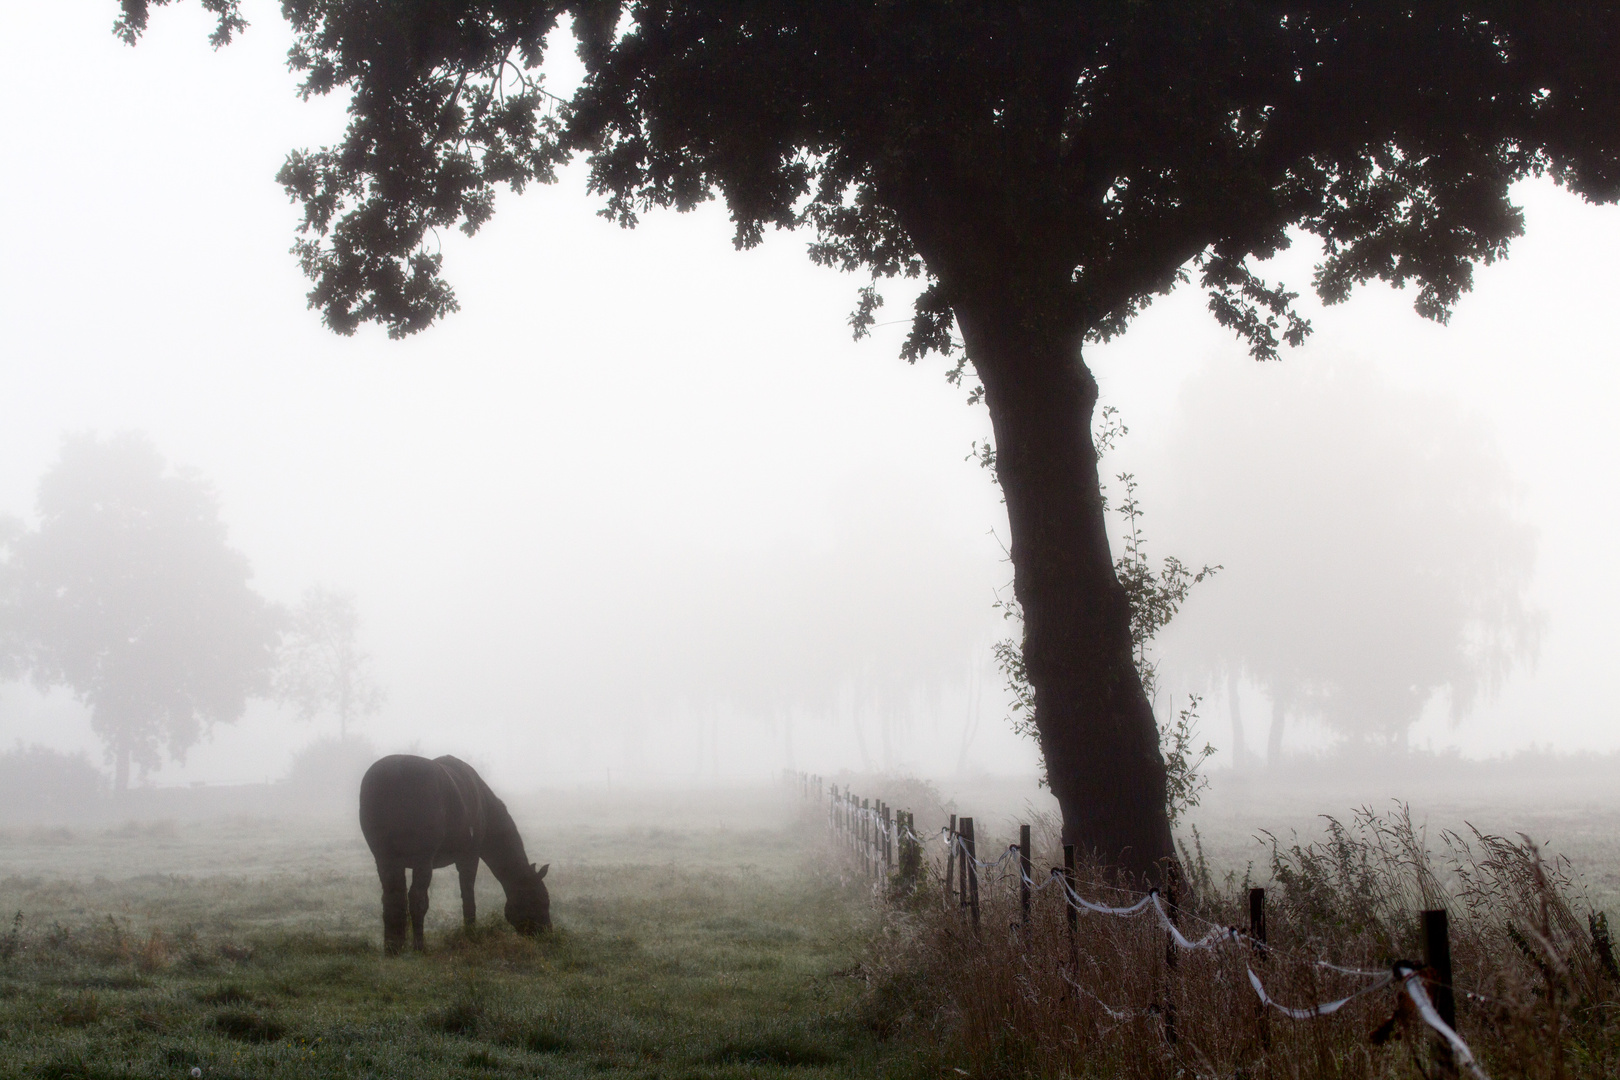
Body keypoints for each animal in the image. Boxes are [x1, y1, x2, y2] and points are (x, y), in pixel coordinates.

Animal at [359, 751, 550, 952]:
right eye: (542, 900)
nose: (548, 934)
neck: (483, 804)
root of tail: (396, 773)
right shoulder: (469, 857)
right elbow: (468, 896)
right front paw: (471, 934)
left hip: (385, 858)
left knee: (393, 898)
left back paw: (393, 948)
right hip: (422, 860)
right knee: (417, 899)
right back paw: (420, 947)